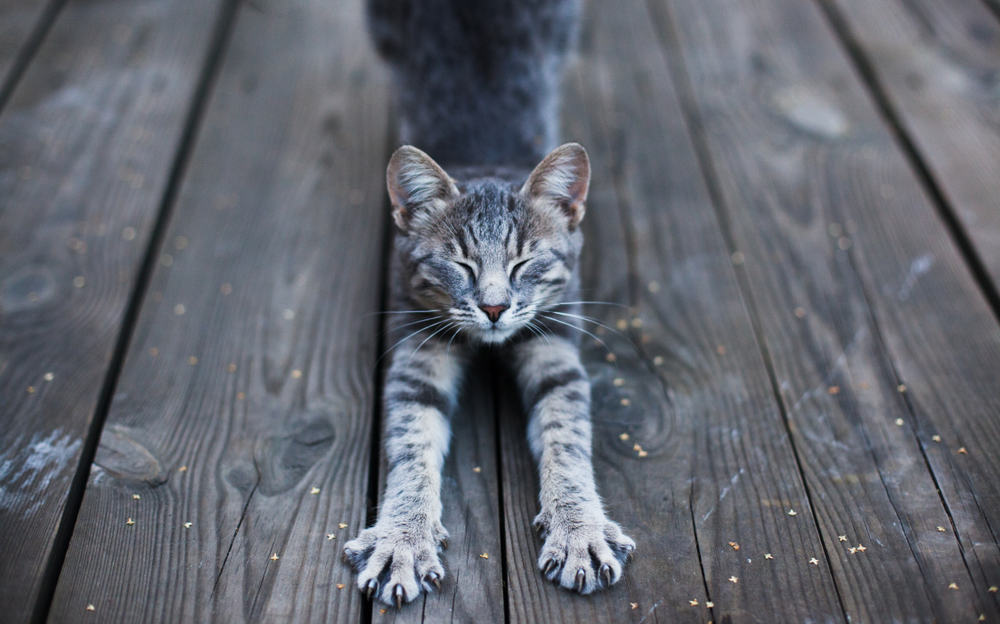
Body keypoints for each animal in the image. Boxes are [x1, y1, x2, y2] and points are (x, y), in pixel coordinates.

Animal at [344, 0, 636, 608]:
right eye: (460, 266)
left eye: (525, 263)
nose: (496, 310)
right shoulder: (417, 349)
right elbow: (412, 444)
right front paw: (402, 540)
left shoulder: (555, 340)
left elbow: (567, 439)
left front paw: (579, 531)